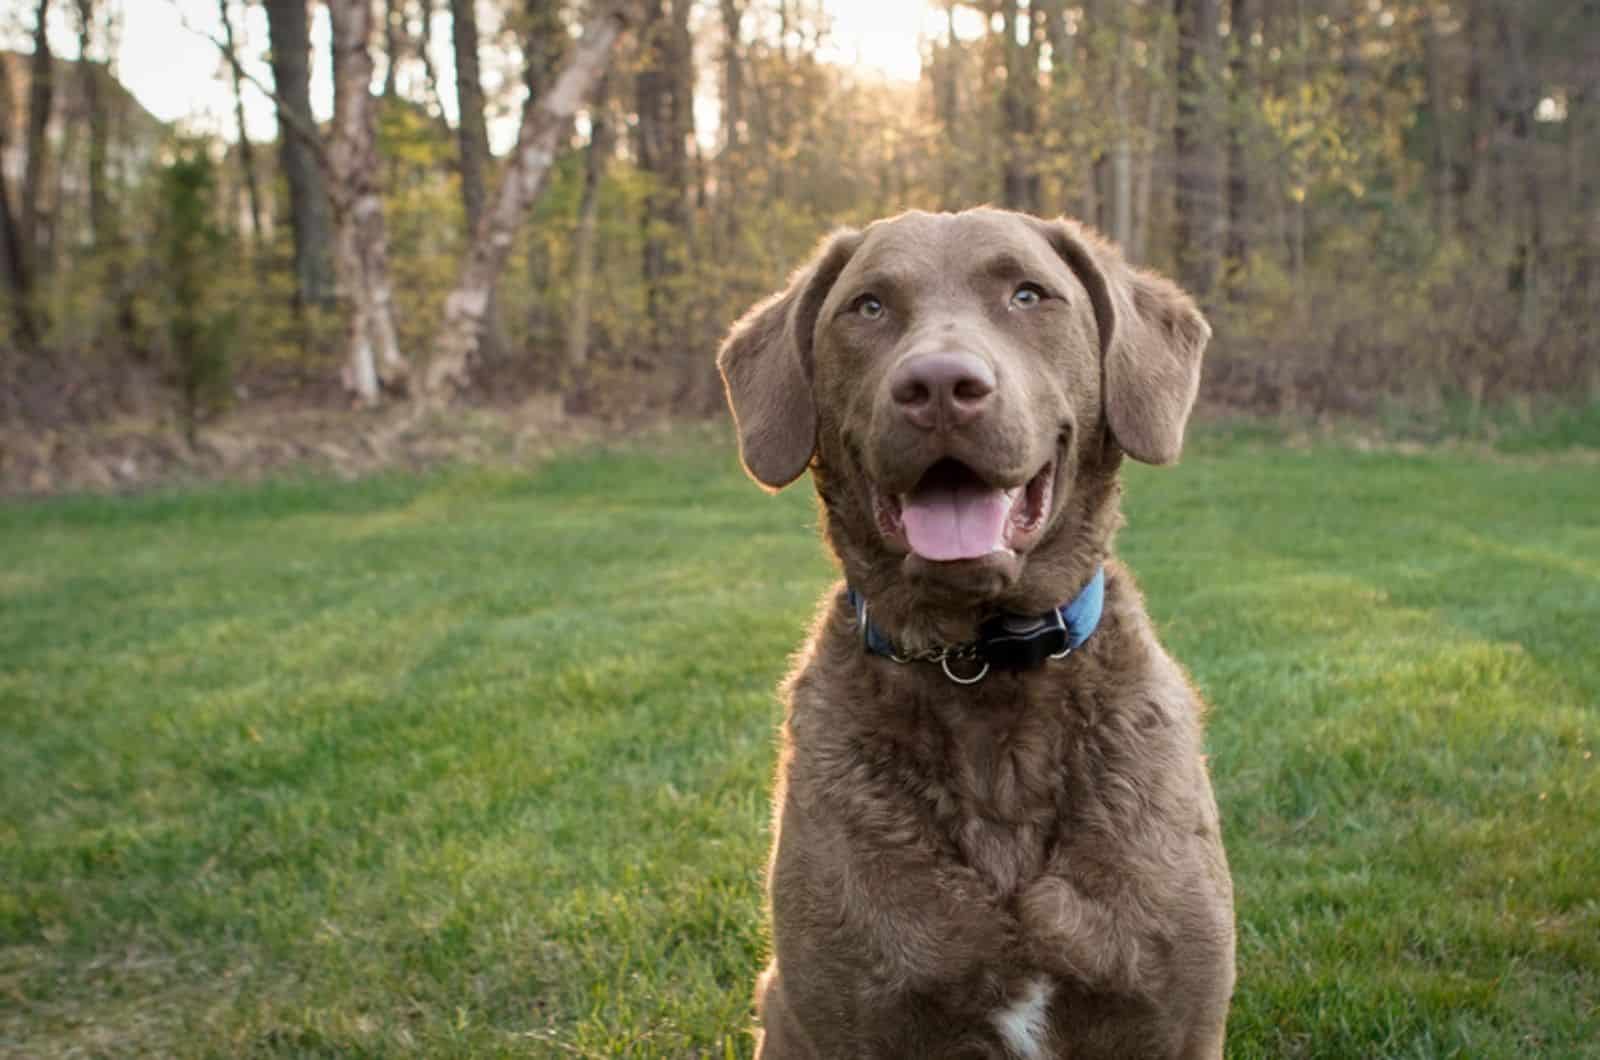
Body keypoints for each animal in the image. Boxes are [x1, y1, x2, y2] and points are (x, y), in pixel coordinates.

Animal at [720, 209, 1228, 1060]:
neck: (983, 669)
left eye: (1028, 294)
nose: (938, 387)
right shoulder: (848, 1013)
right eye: (868, 306)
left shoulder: (1176, 1019)